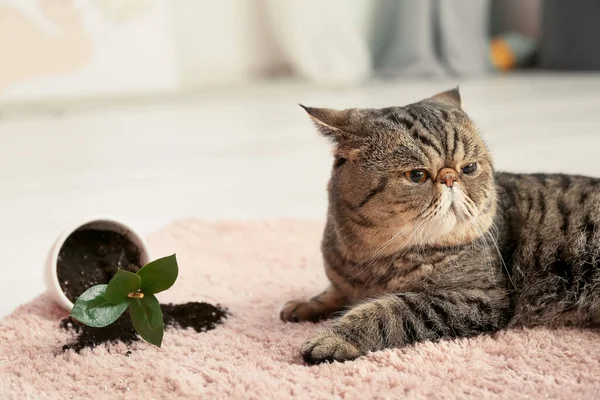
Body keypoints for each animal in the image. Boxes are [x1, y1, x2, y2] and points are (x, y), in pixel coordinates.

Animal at [280, 88, 600, 366]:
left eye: (468, 168)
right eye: (417, 175)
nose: (449, 177)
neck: (369, 263)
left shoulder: (479, 297)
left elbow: (390, 311)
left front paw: (336, 337)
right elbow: (332, 292)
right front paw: (305, 305)